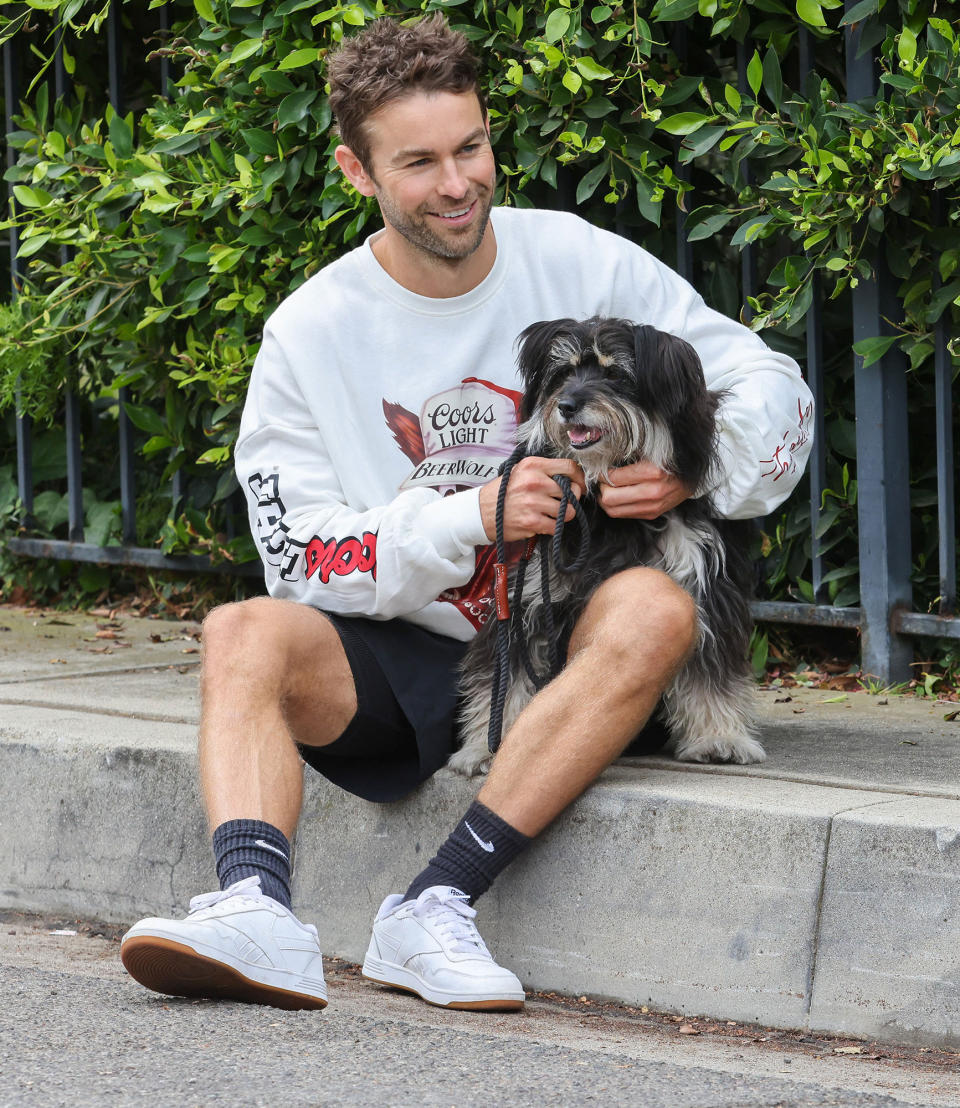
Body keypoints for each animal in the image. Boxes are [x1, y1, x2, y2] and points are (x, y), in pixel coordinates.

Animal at [447, 316, 762, 775]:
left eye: (616, 375)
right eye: (564, 372)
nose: (566, 405)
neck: (601, 505)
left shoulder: (704, 585)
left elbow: (711, 668)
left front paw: (718, 736)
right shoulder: (526, 600)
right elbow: (504, 679)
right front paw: (487, 746)